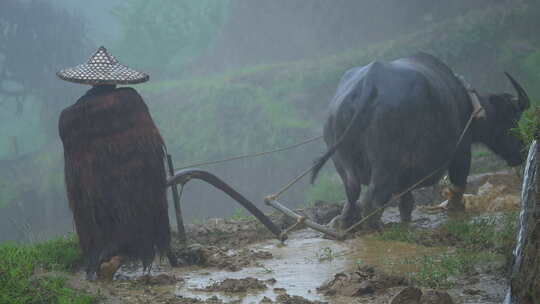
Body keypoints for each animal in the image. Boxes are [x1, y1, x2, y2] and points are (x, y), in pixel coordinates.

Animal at [310, 52, 528, 230]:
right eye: (513, 119)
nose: (522, 152)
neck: (470, 105)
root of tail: (371, 80)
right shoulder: (462, 150)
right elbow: (458, 183)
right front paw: (456, 209)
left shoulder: (406, 172)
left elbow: (406, 200)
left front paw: (406, 220)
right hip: (385, 162)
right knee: (374, 196)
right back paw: (373, 227)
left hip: (342, 158)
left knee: (352, 191)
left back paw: (346, 222)